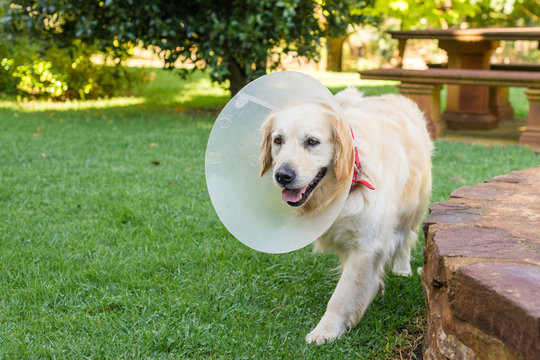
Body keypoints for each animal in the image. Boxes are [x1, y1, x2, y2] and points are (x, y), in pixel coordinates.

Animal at [260, 86, 432, 344]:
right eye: (277, 140)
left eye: (312, 141)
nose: (283, 175)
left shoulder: (367, 245)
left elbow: (342, 294)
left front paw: (326, 330)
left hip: (413, 207)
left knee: (406, 235)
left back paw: (402, 267)